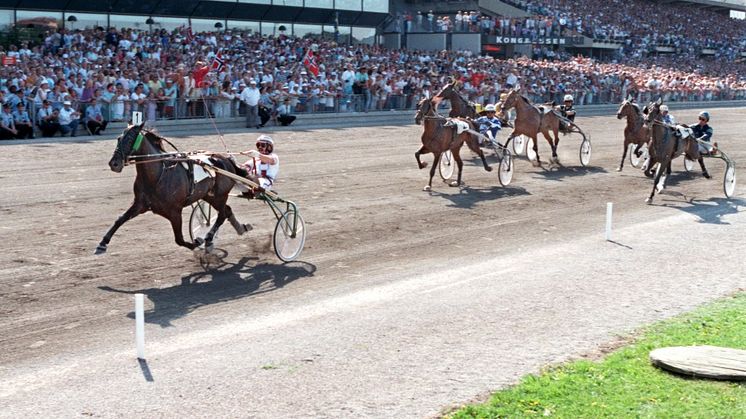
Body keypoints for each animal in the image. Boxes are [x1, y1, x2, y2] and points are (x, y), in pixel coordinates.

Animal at [94, 124, 246, 256]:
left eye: (130, 139)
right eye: (119, 138)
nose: (114, 163)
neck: (158, 176)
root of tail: (226, 159)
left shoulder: (175, 212)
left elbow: (179, 239)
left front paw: (198, 241)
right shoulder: (140, 204)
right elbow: (119, 220)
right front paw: (102, 244)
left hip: (220, 195)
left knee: (222, 215)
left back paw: (208, 239)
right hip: (210, 196)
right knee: (226, 211)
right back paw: (240, 229)